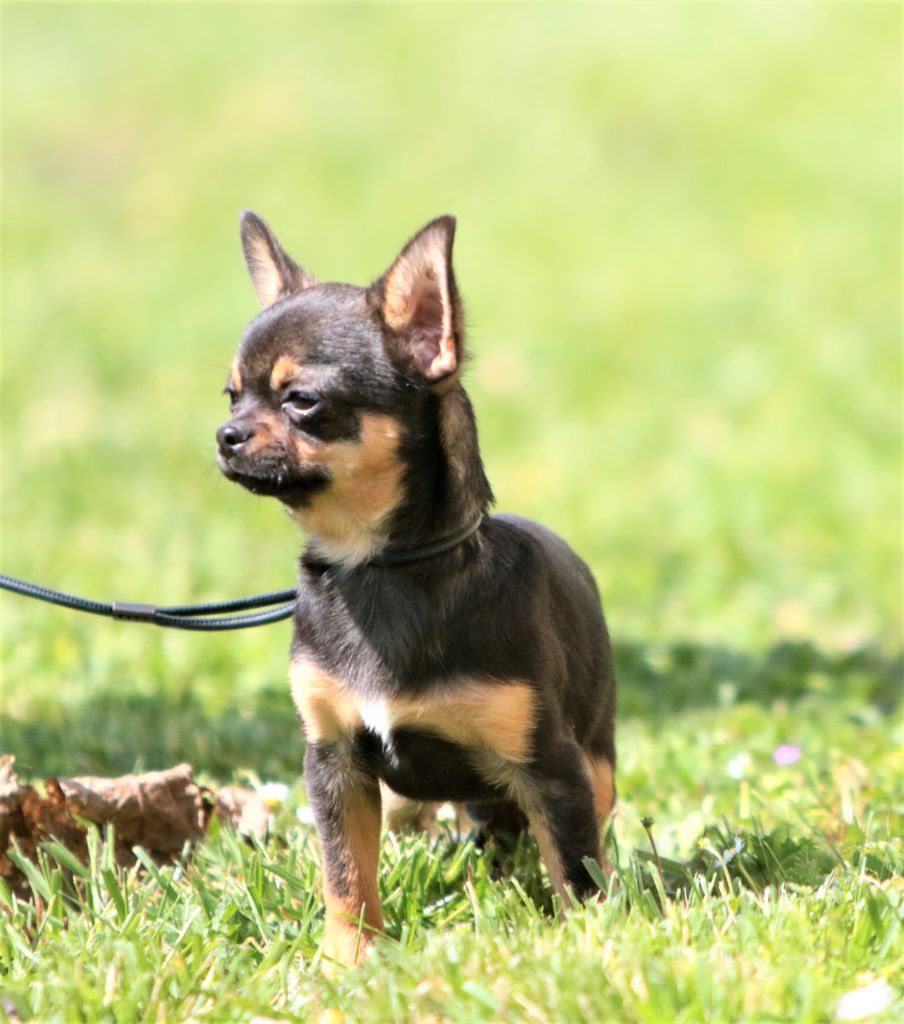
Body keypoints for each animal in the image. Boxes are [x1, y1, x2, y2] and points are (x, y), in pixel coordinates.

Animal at [217, 211, 618, 962]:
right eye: (232, 395)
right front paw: (347, 959)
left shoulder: (549, 765)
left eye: (302, 400)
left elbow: (577, 868)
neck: (376, 568)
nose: (225, 434)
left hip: (593, 758)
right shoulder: (335, 761)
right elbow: (345, 871)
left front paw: (591, 944)